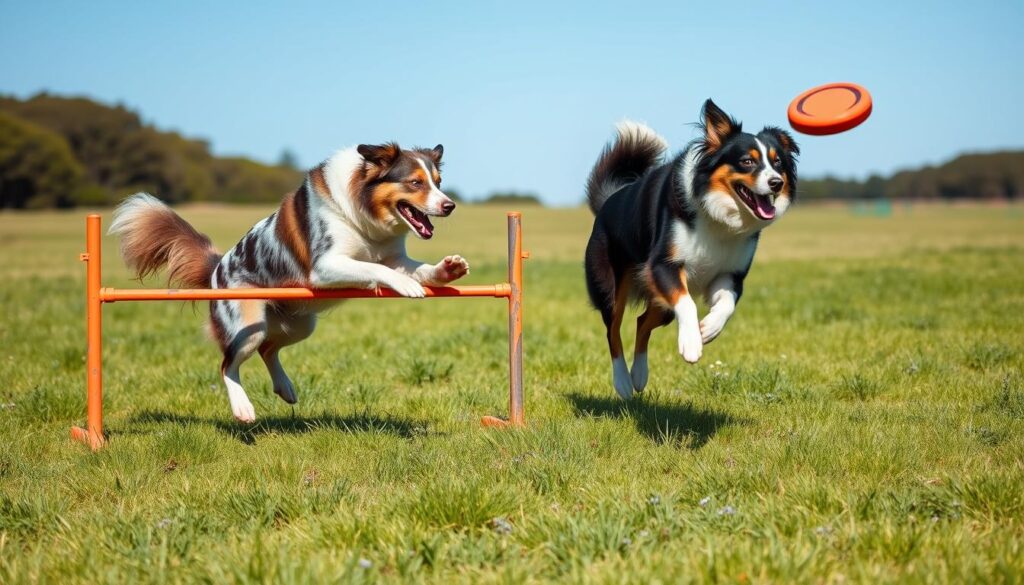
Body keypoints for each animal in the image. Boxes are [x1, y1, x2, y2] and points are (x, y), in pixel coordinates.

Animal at [107, 144, 468, 424]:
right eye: (414, 182)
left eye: (438, 182)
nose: (449, 205)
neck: (364, 217)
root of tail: (216, 268)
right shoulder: (324, 266)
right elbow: (373, 267)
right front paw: (406, 286)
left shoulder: (394, 257)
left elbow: (413, 268)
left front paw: (446, 270)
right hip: (247, 324)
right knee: (227, 364)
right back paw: (243, 409)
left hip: (300, 324)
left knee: (269, 348)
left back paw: (285, 387)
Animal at [585, 101, 798, 403]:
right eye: (747, 161)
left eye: (777, 162)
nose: (776, 182)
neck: (719, 216)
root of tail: (610, 198)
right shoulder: (663, 266)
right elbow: (687, 302)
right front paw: (691, 344)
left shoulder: (730, 275)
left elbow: (726, 304)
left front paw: (708, 329)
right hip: (610, 288)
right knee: (613, 330)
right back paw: (624, 382)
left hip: (661, 305)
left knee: (641, 322)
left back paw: (639, 375)